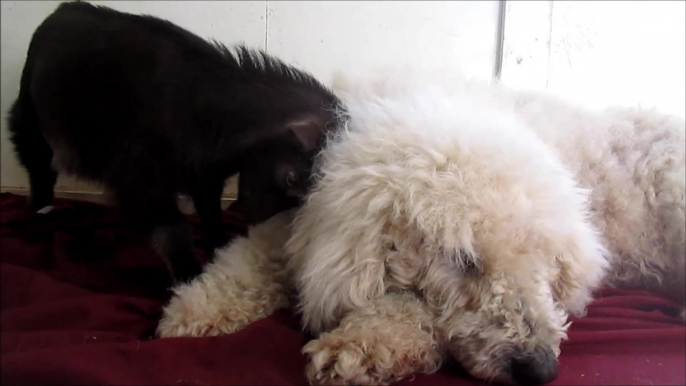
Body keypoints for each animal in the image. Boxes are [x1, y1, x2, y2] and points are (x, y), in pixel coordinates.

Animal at [157, 71, 686, 386]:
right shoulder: (306, 219)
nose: (541, 368)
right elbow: (249, 259)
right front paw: (193, 309)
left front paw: (365, 343)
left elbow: (409, 311)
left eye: (548, 268)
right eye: (464, 261)